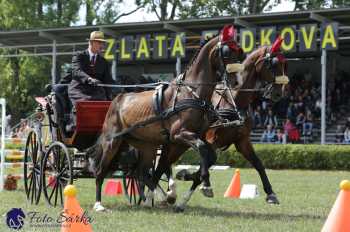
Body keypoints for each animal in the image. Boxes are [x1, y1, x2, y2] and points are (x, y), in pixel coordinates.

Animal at [89, 25, 245, 212]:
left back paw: (160, 198)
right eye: (227, 52)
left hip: (146, 145)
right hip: (112, 142)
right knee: (101, 170)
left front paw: (193, 181)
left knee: (141, 172)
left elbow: (210, 155)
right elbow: (201, 149)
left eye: (240, 52)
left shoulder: (189, 138)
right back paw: (99, 204)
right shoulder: (179, 135)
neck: (191, 93)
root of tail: (117, 99)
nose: (236, 82)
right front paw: (205, 185)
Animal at [155, 40, 288, 212]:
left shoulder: (242, 141)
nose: (278, 94)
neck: (233, 100)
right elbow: (206, 164)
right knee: (162, 164)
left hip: (176, 144)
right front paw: (188, 187)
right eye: (274, 64)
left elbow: (258, 164)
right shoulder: (211, 141)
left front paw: (271, 194)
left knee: (163, 163)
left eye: (285, 64)